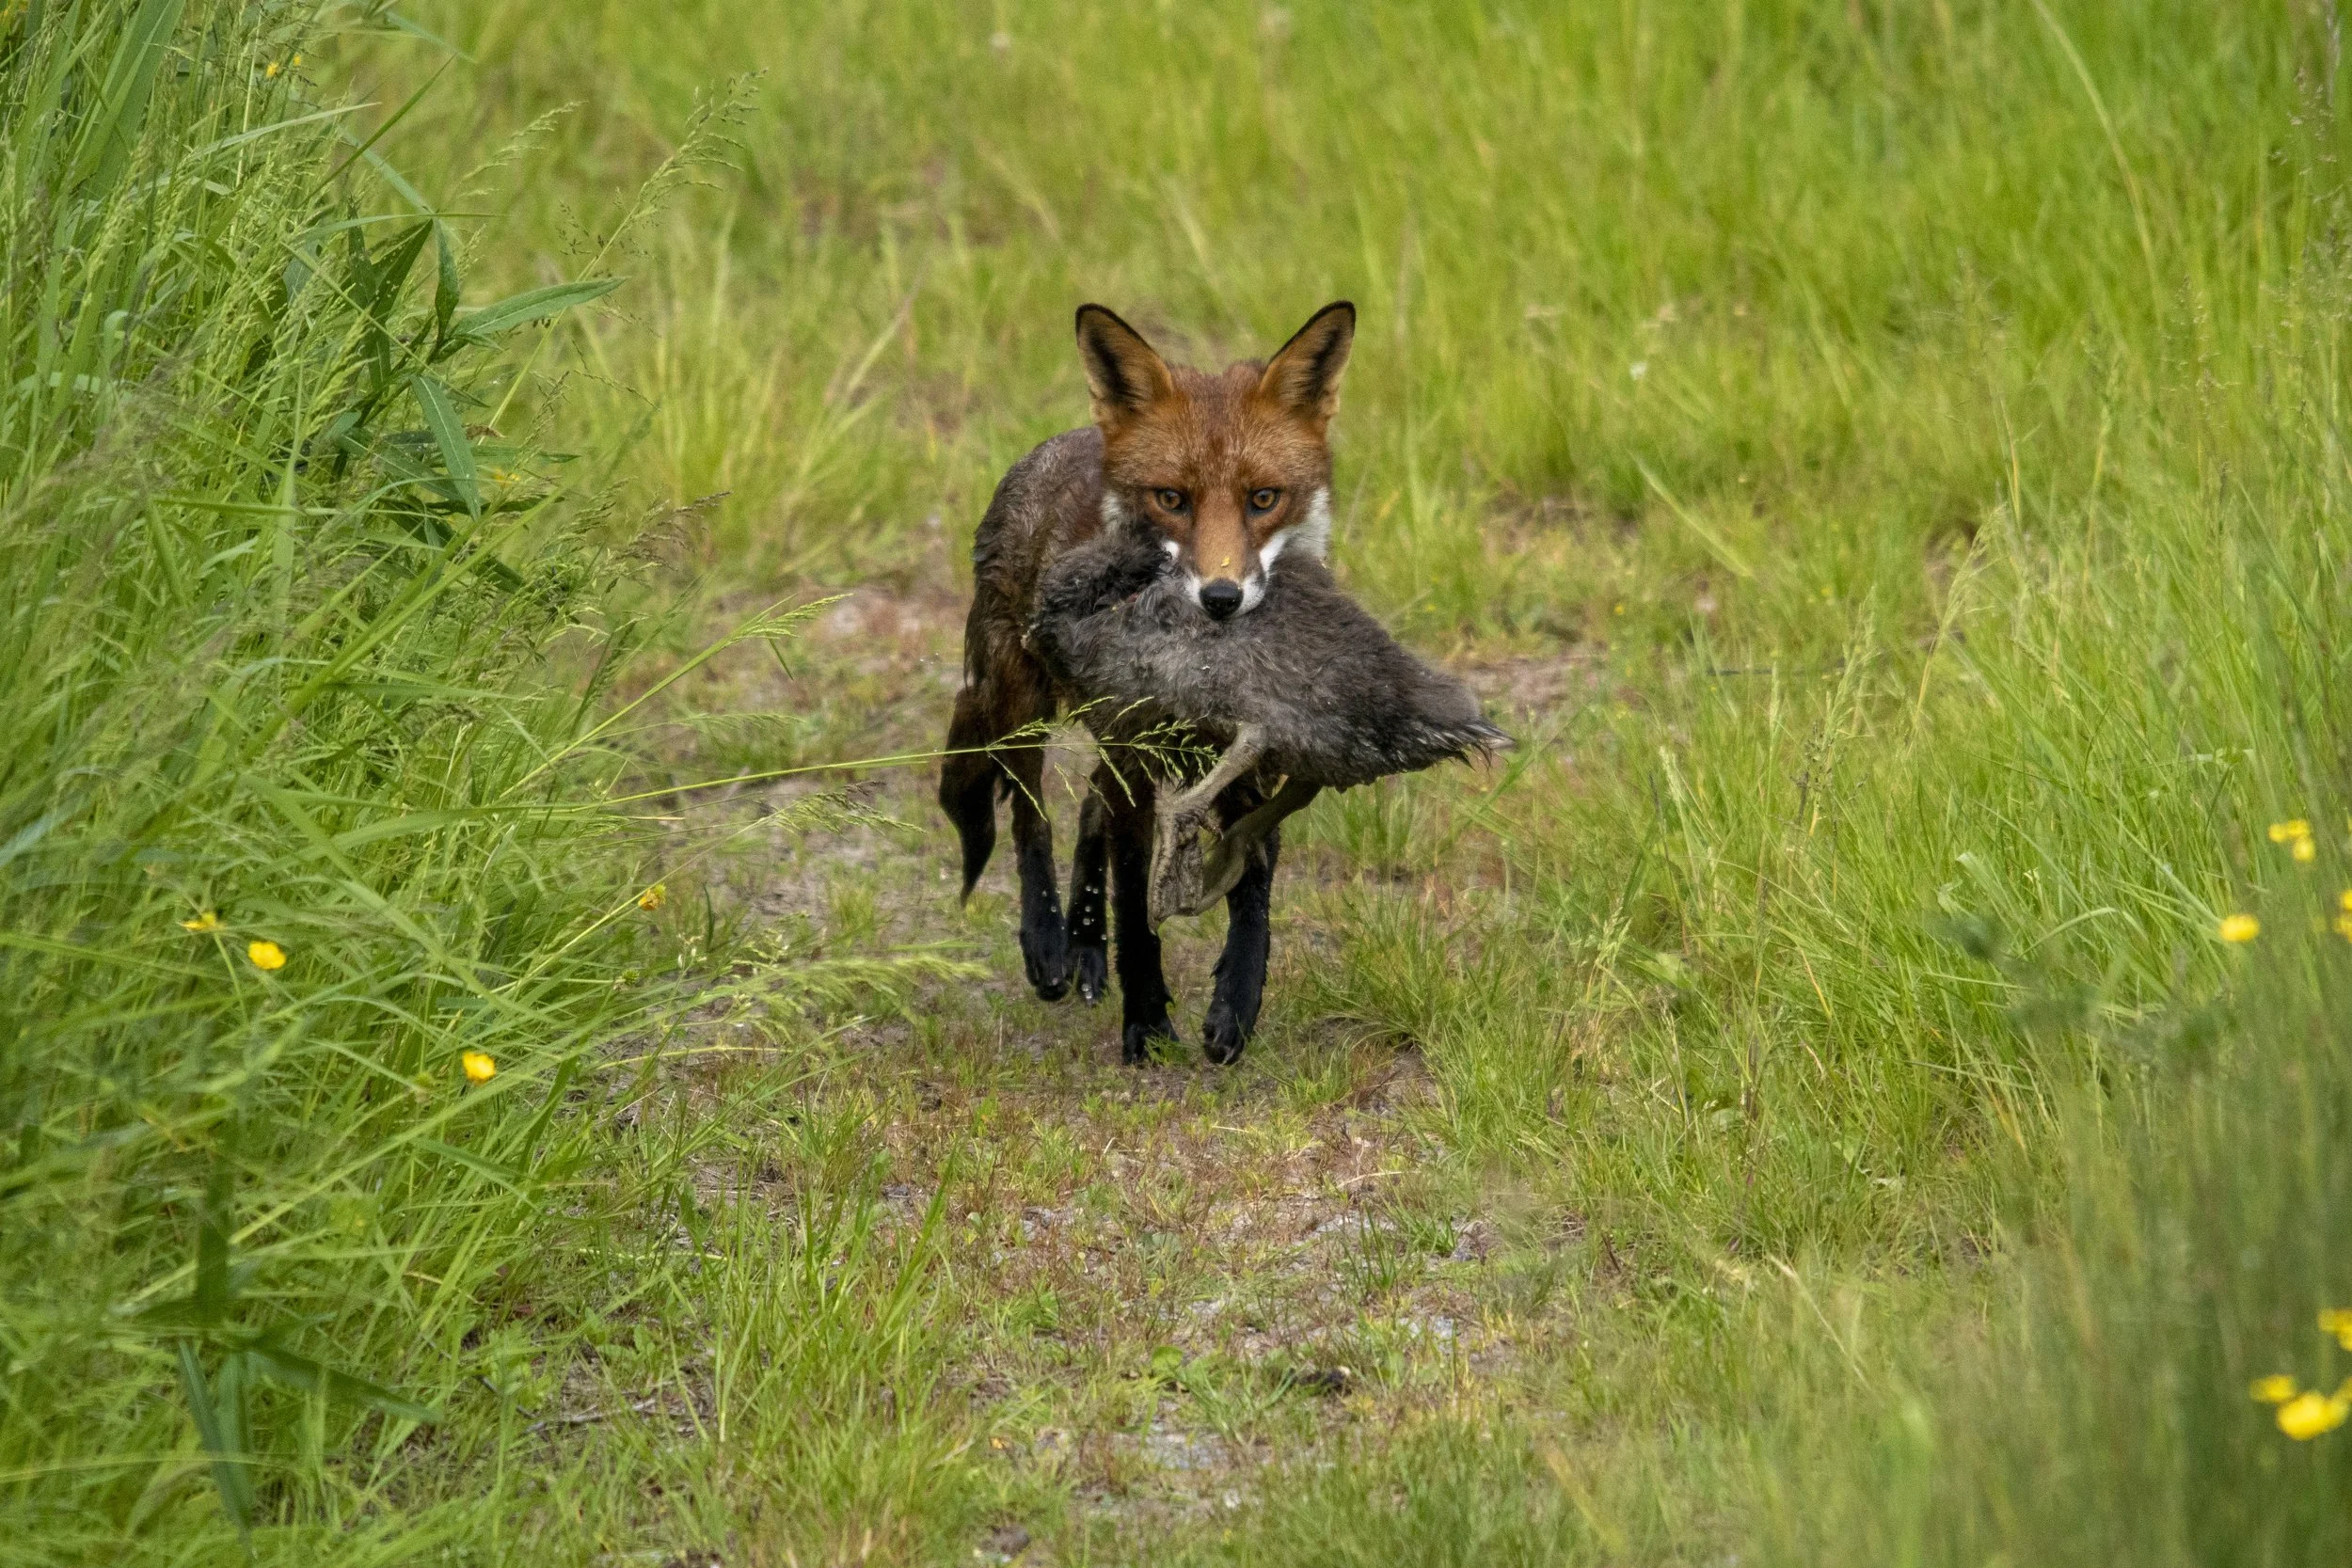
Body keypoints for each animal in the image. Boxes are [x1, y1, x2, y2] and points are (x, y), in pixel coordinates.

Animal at [937, 300, 1357, 1065]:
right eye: (1171, 499)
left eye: (1263, 499)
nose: (1220, 598)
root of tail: (1066, 441)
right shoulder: (1135, 755)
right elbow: (1135, 901)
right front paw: (1147, 1022)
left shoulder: (1244, 754)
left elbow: (1254, 875)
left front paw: (1236, 1004)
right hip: (1020, 700)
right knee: (1030, 812)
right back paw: (1050, 943)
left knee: (1086, 810)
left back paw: (1084, 947)